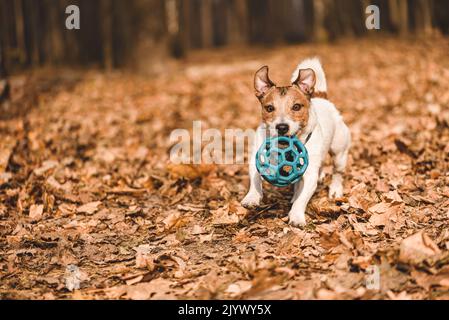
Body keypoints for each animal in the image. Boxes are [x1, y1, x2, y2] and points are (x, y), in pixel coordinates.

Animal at [242, 58, 350, 228]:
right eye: (269, 108)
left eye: (297, 106)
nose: (282, 127)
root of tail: (322, 97)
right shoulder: (256, 161)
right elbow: (255, 179)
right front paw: (252, 197)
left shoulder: (310, 175)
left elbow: (302, 199)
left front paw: (297, 216)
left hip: (339, 152)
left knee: (338, 172)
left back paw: (335, 190)